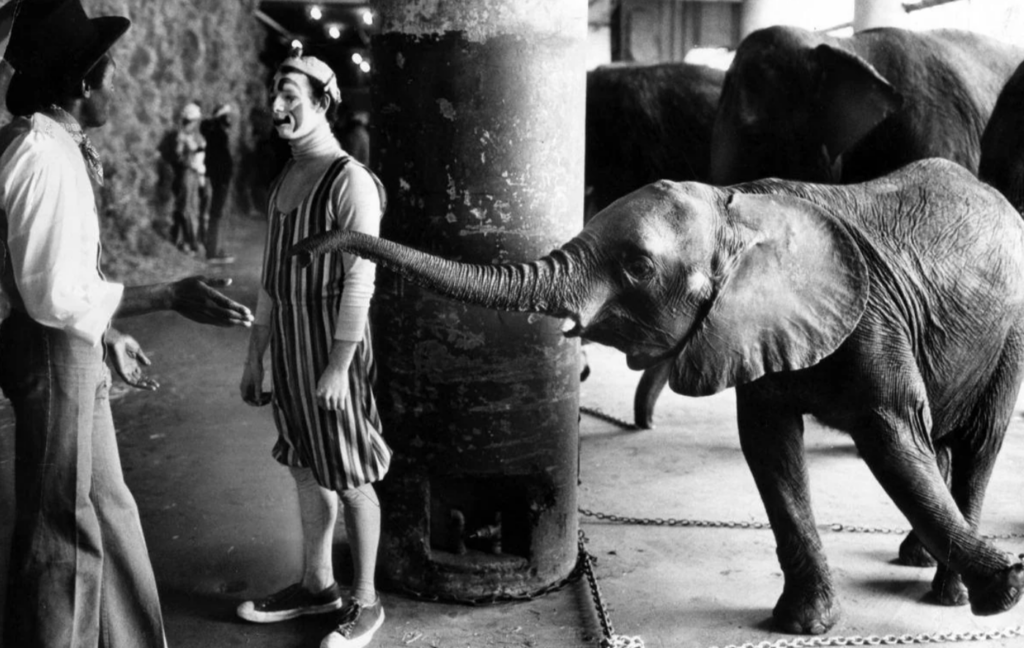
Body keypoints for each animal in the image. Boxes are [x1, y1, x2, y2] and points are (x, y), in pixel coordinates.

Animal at [288, 159, 1024, 634]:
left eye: (639, 267)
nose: (307, 247)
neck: (741, 209)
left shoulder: (874, 323)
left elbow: (892, 442)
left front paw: (1005, 590)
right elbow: (771, 453)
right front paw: (800, 625)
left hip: (1012, 331)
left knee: (978, 440)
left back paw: (949, 594)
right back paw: (919, 560)